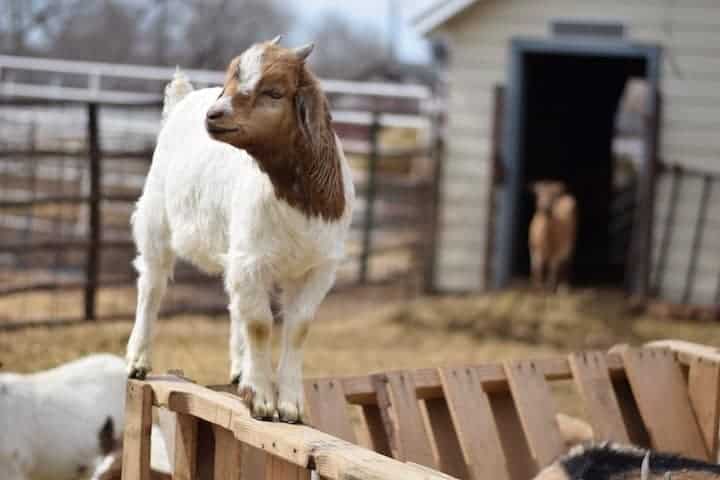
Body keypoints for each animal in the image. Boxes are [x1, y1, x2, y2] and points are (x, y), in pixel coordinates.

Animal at [127, 35, 358, 422]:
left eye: (274, 92)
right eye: (230, 82)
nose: (214, 115)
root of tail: (183, 99)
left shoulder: (318, 267)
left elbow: (297, 327)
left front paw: (290, 404)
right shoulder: (252, 259)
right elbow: (260, 324)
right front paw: (262, 399)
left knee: (235, 304)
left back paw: (239, 370)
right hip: (156, 220)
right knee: (152, 285)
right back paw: (138, 361)